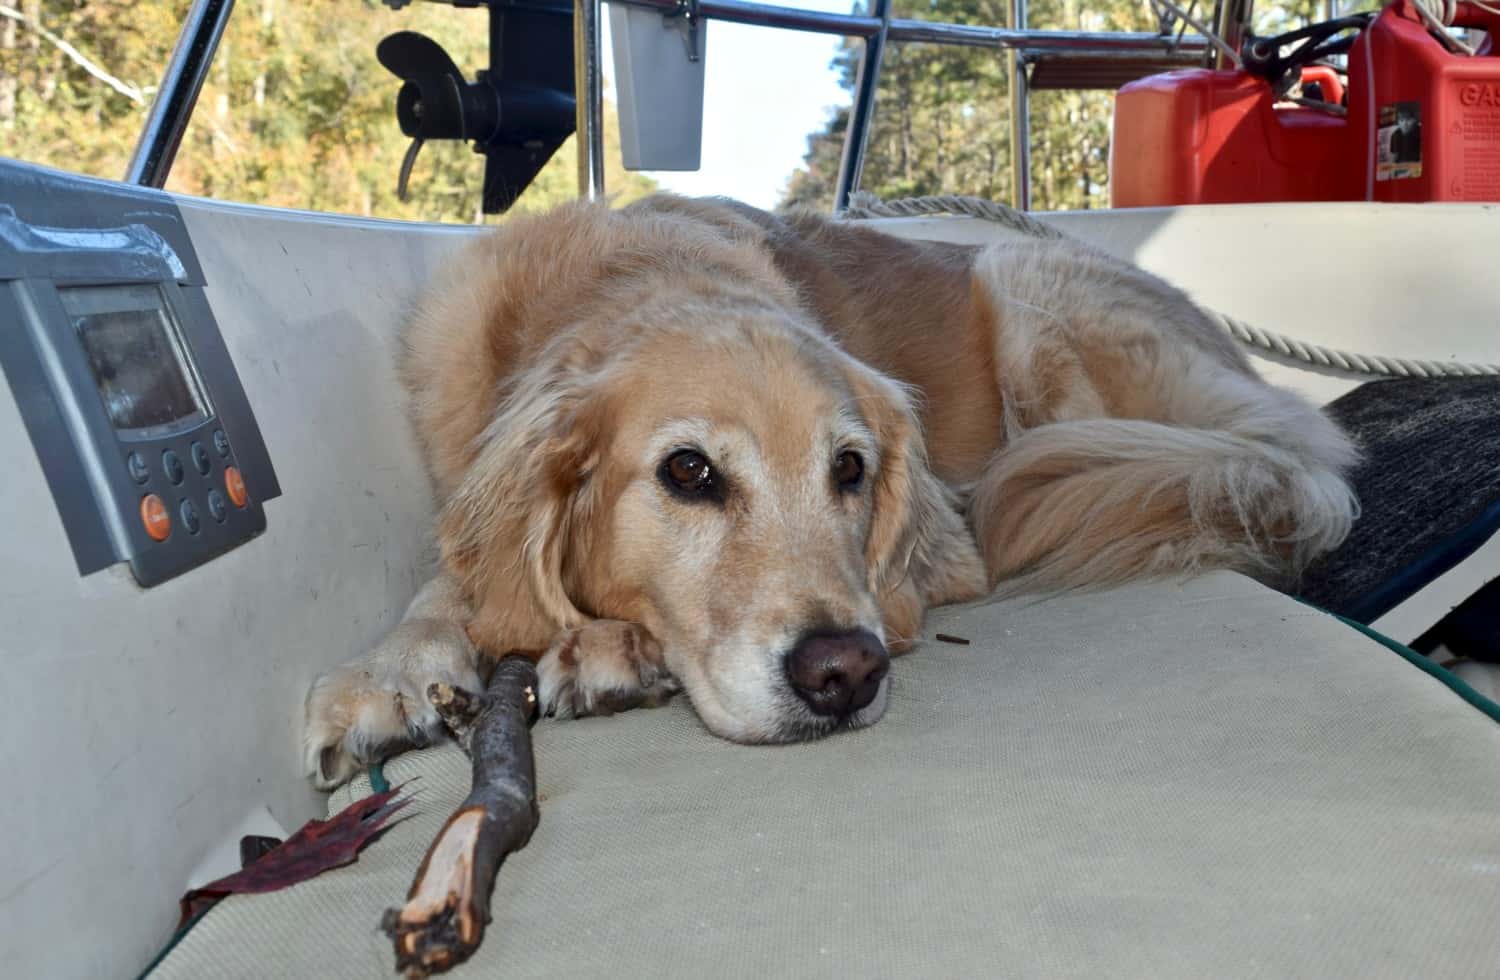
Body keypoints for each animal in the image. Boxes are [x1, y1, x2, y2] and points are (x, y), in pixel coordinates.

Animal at [304, 195, 1362, 786]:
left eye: (849, 469)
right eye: (688, 471)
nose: (845, 673)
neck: (624, 277)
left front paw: (602, 646)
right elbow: (458, 575)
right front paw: (387, 668)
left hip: (1026, 284)